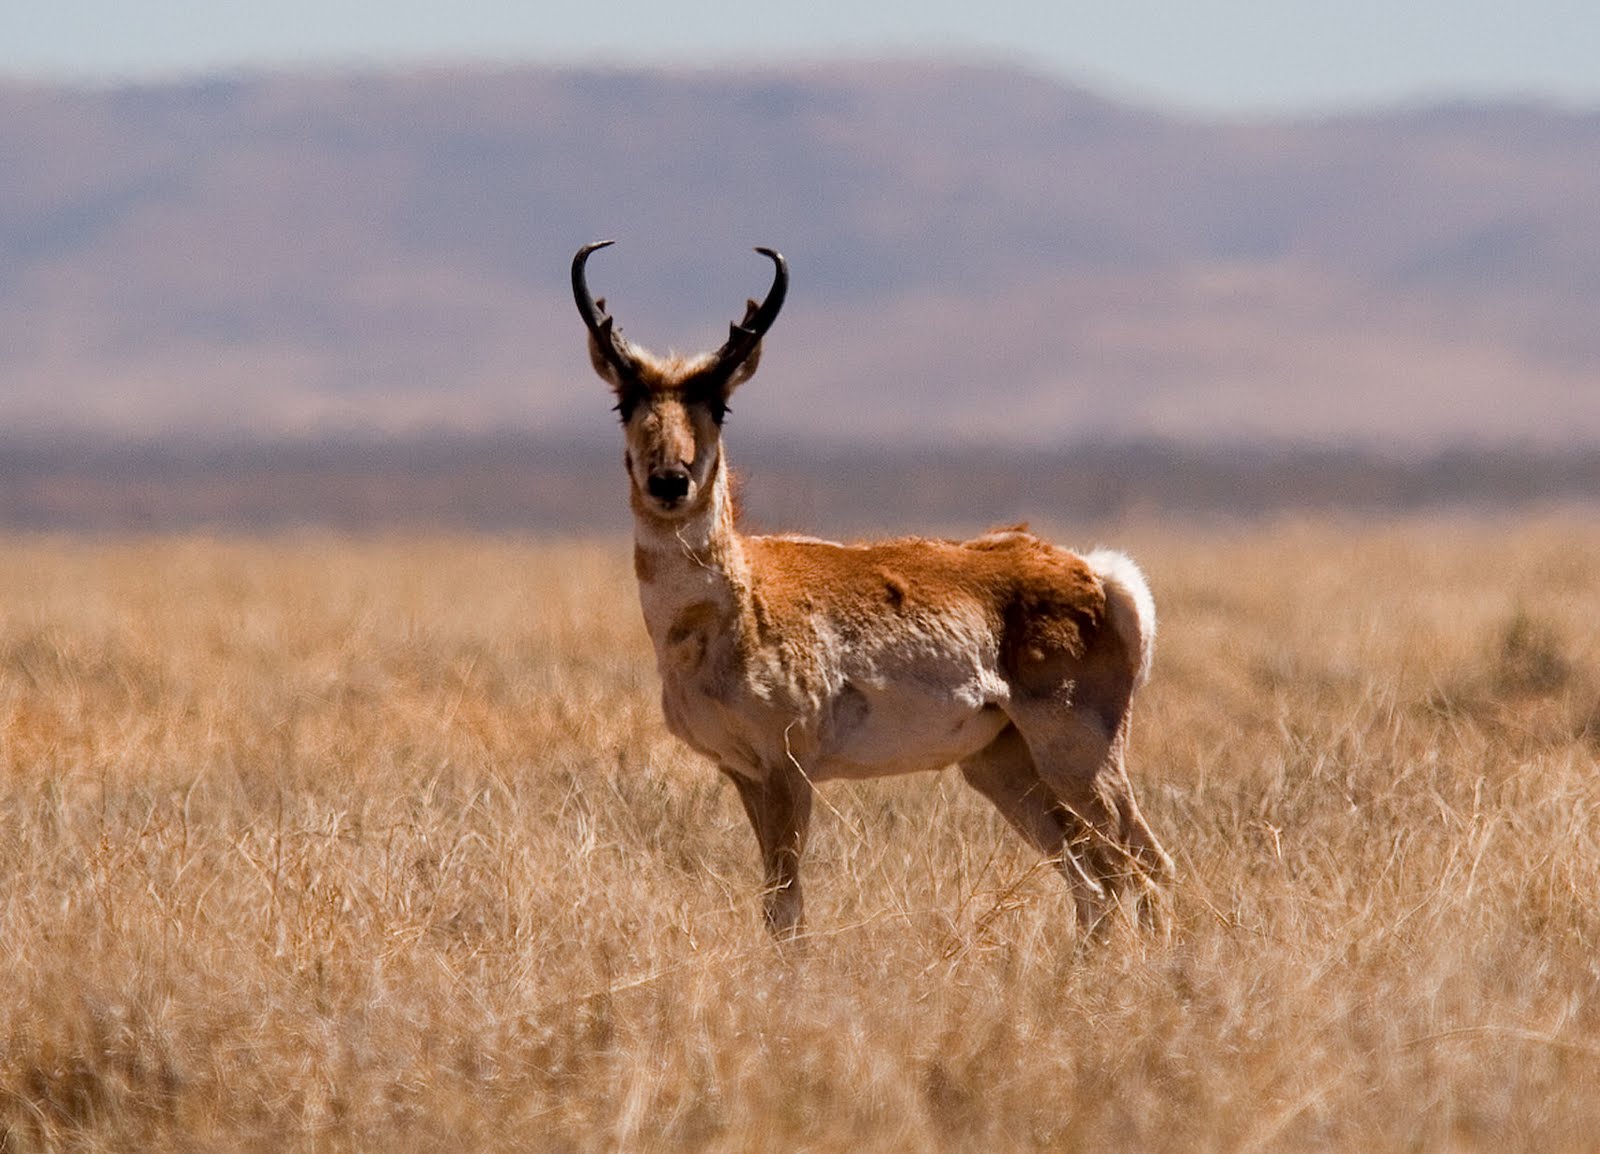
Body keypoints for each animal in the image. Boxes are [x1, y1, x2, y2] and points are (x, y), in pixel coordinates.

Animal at [573, 240, 1174, 937]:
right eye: (624, 404)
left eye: (719, 406)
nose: (670, 481)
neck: (736, 601)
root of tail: (1097, 572)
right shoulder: (742, 772)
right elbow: (774, 905)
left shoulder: (787, 773)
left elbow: (786, 907)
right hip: (1005, 769)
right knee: (1095, 884)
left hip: (1076, 760)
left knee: (1146, 868)